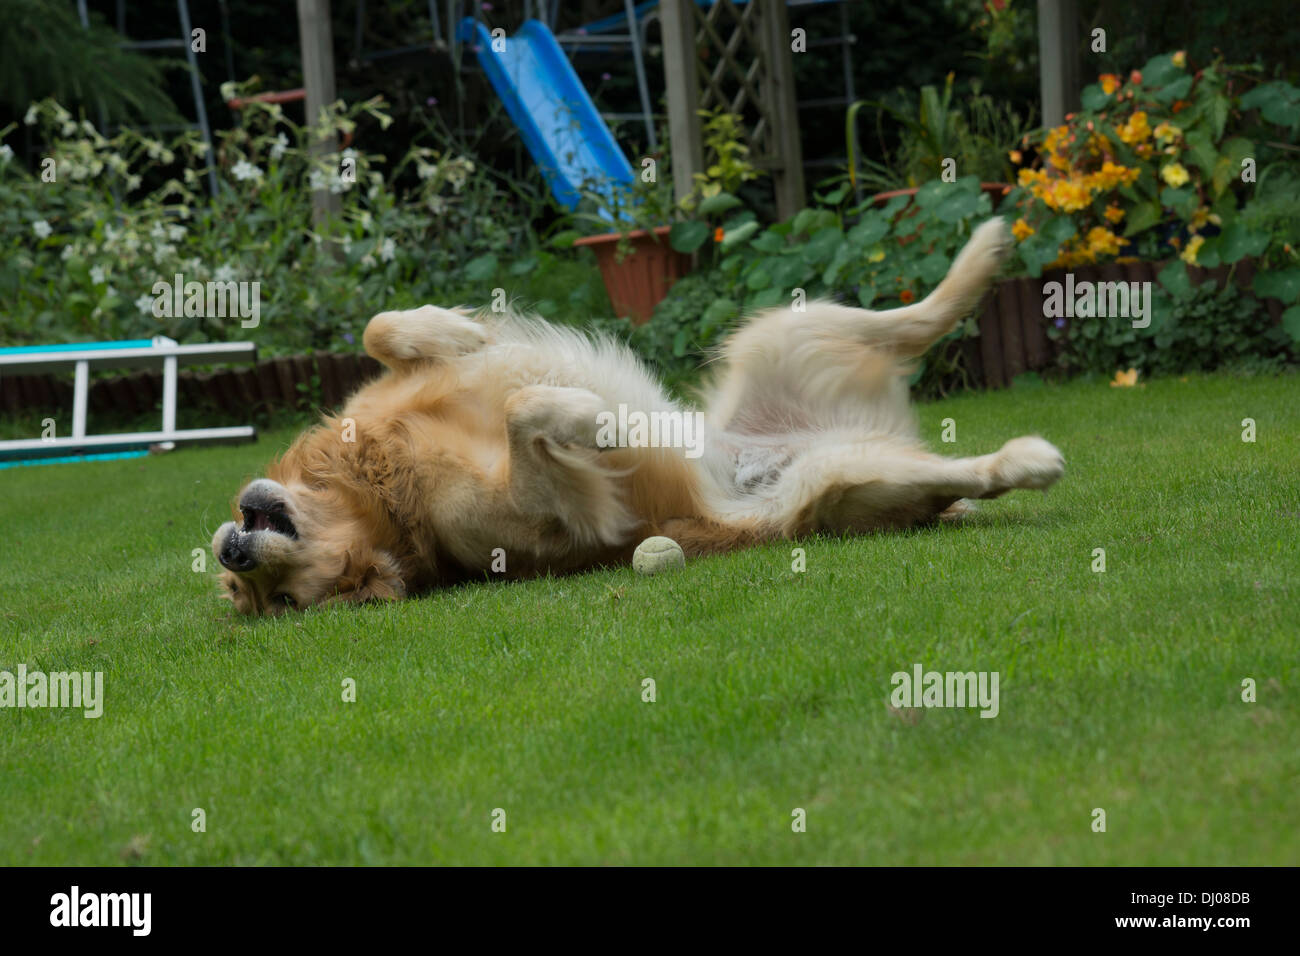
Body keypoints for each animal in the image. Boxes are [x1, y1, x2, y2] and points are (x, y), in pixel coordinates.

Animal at [213, 217, 1066, 616]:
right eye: (283, 602)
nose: (233, 553)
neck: (378, 485)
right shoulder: (540, 518)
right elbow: (530, 414)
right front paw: (593, 420)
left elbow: (380, 326)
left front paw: (456, 331)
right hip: (843, 483)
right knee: (966, 471)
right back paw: (1026, 458)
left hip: (782, 330)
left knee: (913, 320)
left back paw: (984, 250)